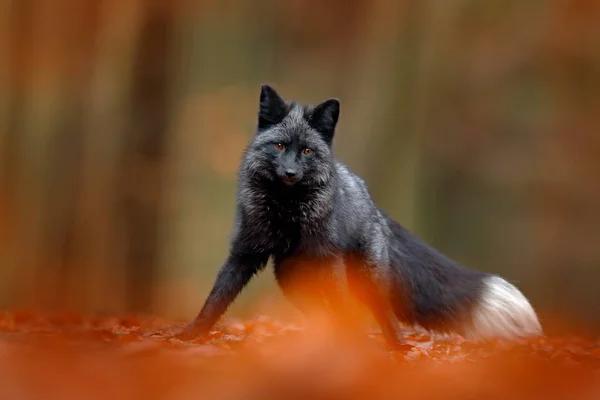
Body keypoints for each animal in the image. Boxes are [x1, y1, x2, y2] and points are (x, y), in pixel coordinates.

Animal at [175, 84, 544, 346]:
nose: (291, 173)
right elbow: (216, 300)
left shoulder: (329, 261)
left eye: (307, 151)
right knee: (324, 313)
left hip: (363, 278)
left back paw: (397, 349)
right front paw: (192, 334)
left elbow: (344, 310)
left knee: (378, 315)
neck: (287, 213)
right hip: (294, 281)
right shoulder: (244, 252)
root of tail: (374, 207)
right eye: (279, 146)